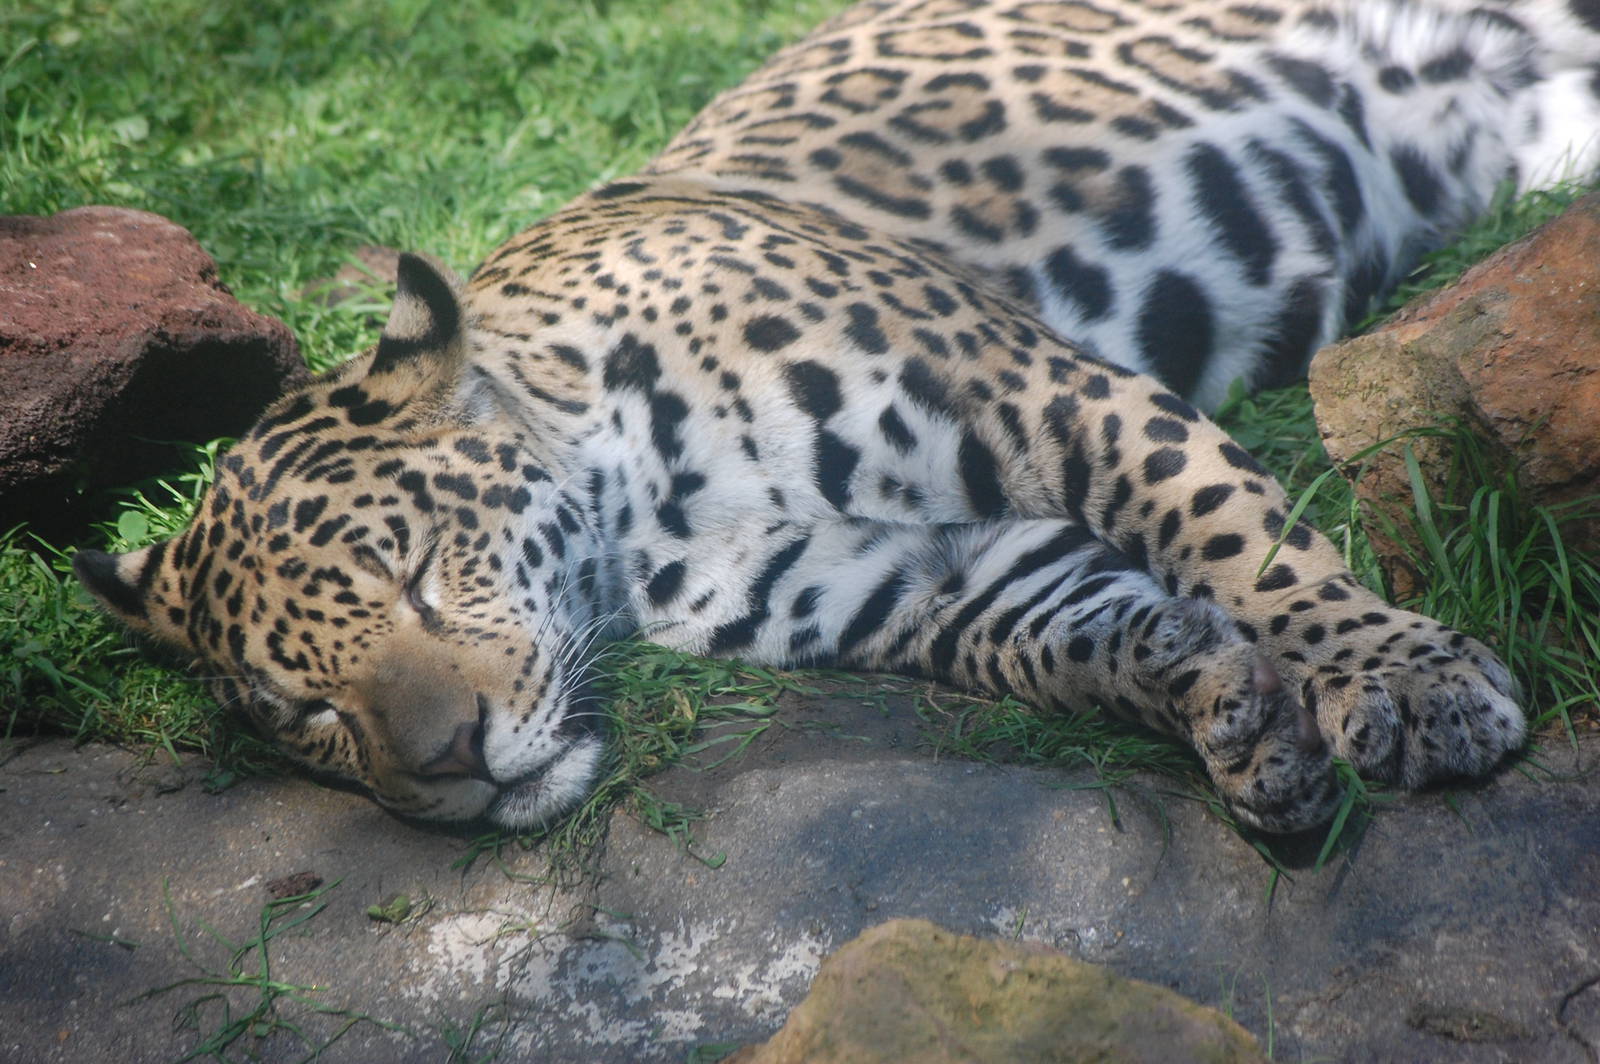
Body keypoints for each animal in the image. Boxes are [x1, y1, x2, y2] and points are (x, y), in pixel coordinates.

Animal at [75, 0, 1600, 834]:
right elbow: (1083, 641)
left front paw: (1407, 684)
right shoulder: (941, 580)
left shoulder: (1056, 394)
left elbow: (1254, 553)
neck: (641, 512)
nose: (448, 765)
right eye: (305, 715)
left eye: (417, 575)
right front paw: (1228, 713)